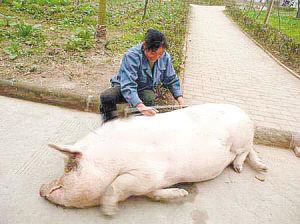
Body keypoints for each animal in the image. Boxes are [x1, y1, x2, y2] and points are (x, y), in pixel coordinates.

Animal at [39, 103, 268, 215]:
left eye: (70, 167)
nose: (41, 190)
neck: (109, 159)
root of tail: (246, 115)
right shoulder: (152, 182)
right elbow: (153, 194)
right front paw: (182, 193)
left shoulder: (147, 173)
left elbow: (117, 185)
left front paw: (109, 212)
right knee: (251, 150)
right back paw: (262, 168)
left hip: (240, 139)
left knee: (243, 152)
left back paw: (239, 169)